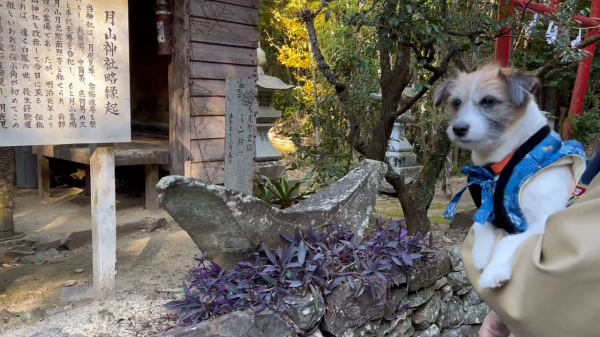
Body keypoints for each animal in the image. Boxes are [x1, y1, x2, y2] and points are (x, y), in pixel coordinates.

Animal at [434, 63, 588, 288]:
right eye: (456, 103)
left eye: (488, 100)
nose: (458, 128)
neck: (509, 159)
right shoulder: (487, 209)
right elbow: (479, 224)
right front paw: (480, 253)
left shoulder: (542, 222)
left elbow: (508, 240)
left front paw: (494, 272)